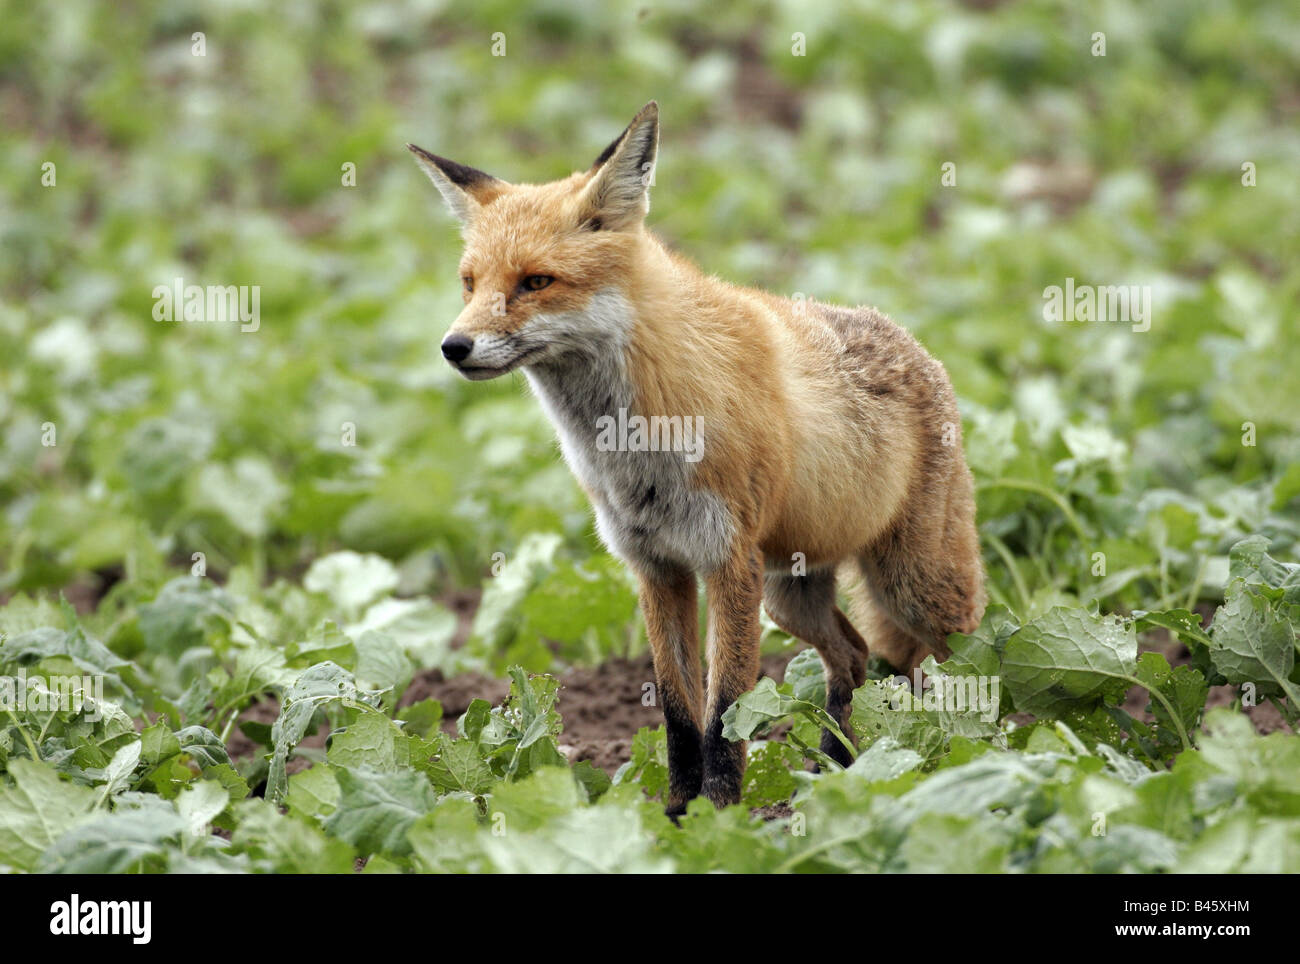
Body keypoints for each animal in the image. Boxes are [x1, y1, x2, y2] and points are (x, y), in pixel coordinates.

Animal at [410, 101, 977, 810]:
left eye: (535, 282)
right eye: (469, 284)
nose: (453, 347)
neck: (631, 444)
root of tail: (914, 342)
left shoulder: (726, 562)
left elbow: (726, 710)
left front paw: (724, 813)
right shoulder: (656, 566)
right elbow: (679, 710)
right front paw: (677, 814)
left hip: (913, 587)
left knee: (973, 654)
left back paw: (999, 752)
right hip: (789, 594)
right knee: (857, 657)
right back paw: (844, 767)